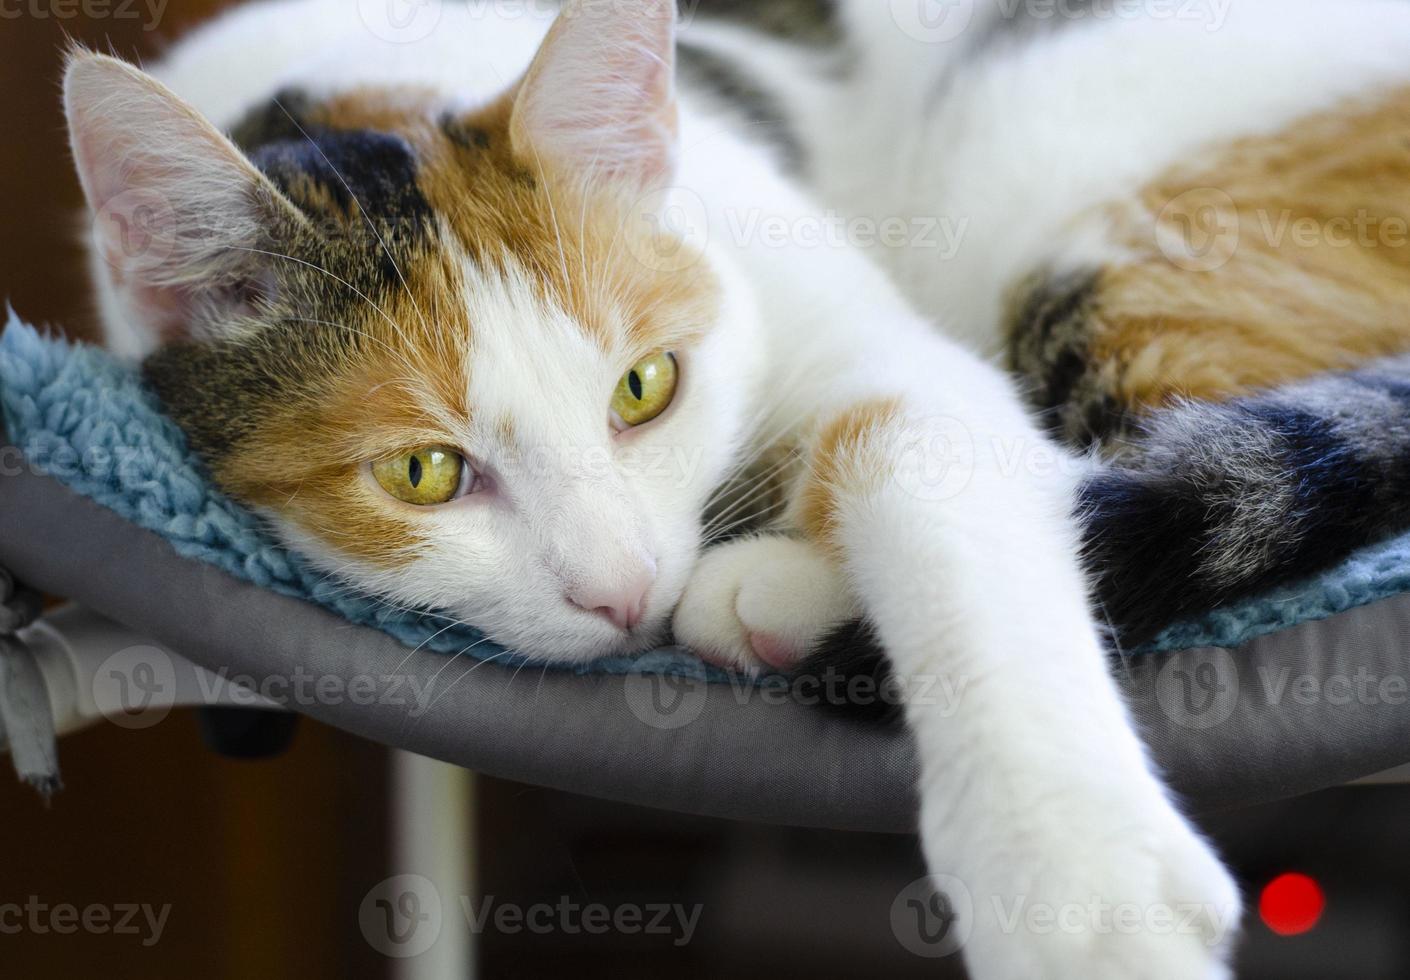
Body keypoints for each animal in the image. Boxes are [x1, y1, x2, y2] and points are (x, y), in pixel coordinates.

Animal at [60, 1, 1410, 980]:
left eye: (645, 386)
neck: (350, 88)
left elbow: (919, 448)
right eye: (423, 472)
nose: (623, 592)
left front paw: (1076, 880)